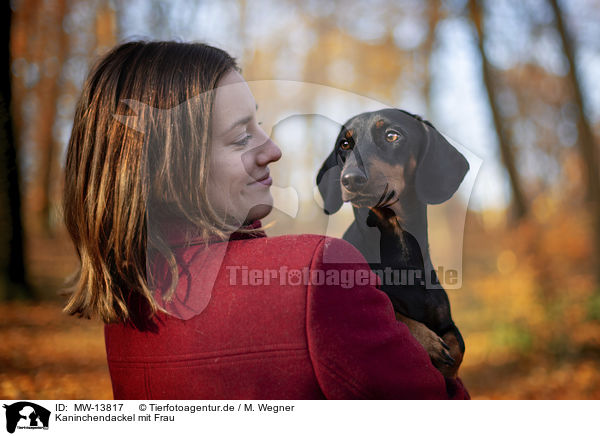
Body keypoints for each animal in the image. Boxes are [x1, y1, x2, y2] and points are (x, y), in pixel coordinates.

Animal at [316, 109, 472, 378]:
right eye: (344, 144)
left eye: (392, 135)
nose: (351, 179)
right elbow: (395, 312)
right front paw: (430, 343)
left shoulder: (446, 320)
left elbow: (459, 346)